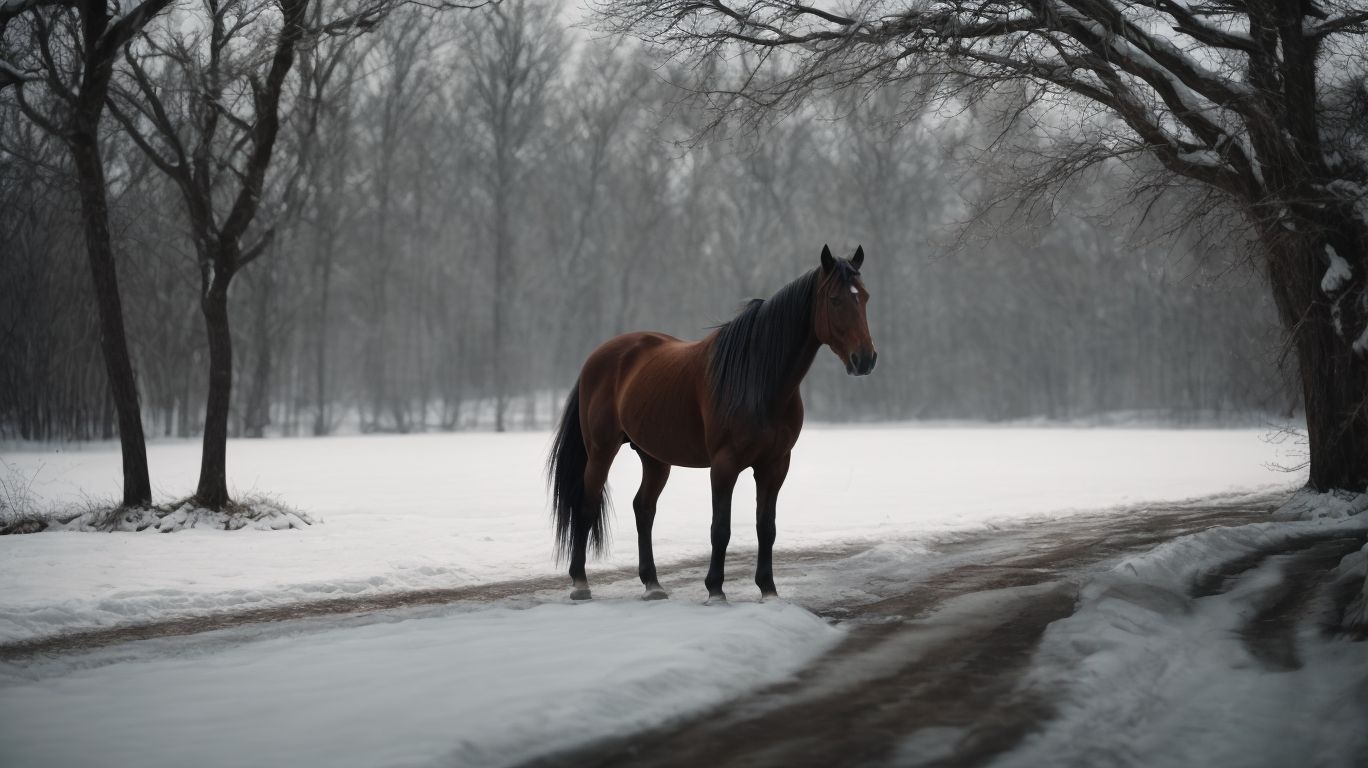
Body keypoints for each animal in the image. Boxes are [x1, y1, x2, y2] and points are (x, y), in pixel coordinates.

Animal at [547, 244, 876, 602]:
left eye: (865, 297)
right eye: (835, 300)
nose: (865, 359)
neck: (758, 380)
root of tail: (597, 358)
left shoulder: (775, 465)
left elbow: (766, 527)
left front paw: (768, 589)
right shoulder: (724, 464)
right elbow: (721, 527)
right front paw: (715, 589)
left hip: (655, 458)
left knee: (643, 509)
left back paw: (652, 583)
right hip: (601, 451)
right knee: (587, 504)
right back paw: (581, 582)